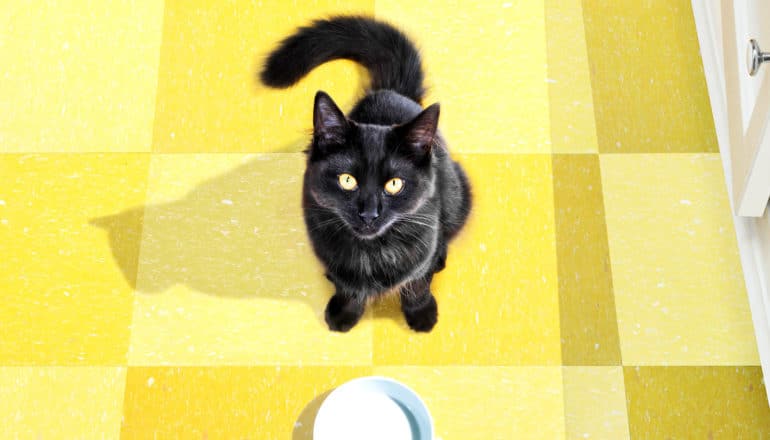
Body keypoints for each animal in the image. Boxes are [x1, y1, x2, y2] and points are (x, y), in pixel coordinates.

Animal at [260, 16, 472, 334]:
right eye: (348, 180)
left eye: (394, 184)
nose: (369, 213)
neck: (372, 254)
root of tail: (390, 92)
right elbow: (347, 288)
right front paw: (343, 315)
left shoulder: (423, 244)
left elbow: (418, 284)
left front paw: (422, 316)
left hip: (457, 199)